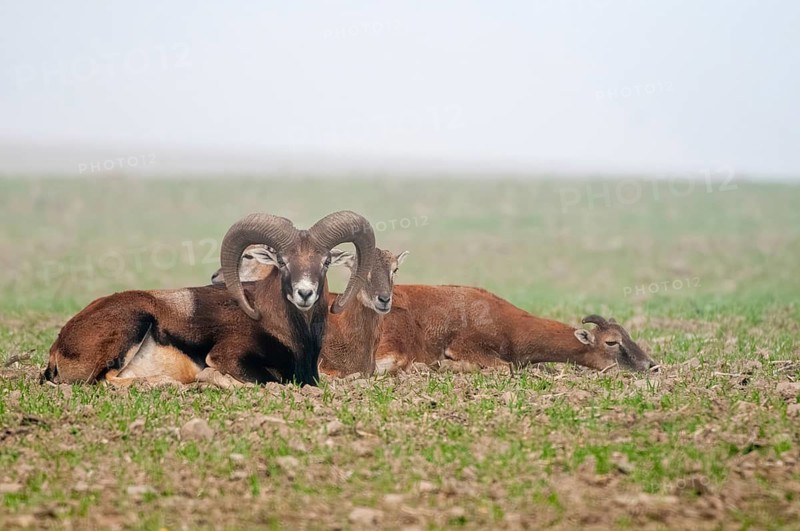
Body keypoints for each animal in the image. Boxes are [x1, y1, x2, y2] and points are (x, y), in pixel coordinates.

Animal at [41, 211, 376, 386]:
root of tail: (59, 346)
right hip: (134, 323)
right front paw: (211, 377)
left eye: (325, 261)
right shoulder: (231, 358)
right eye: (282, 261)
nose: (304, 293)